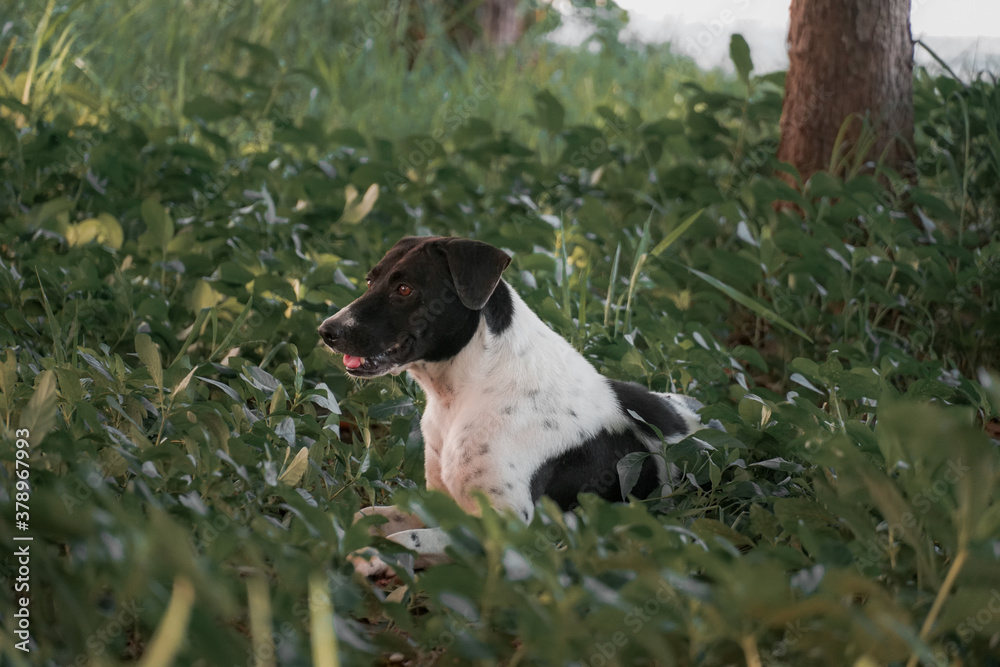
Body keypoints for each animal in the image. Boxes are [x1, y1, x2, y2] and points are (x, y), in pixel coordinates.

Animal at [320, 237, 712, 576]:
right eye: (370, 280)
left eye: (405, 289)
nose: (327, 330)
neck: (464, 393)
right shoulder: (439, 501)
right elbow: (368, 515)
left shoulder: (509, 532)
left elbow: (405, 539)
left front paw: (369, 556)